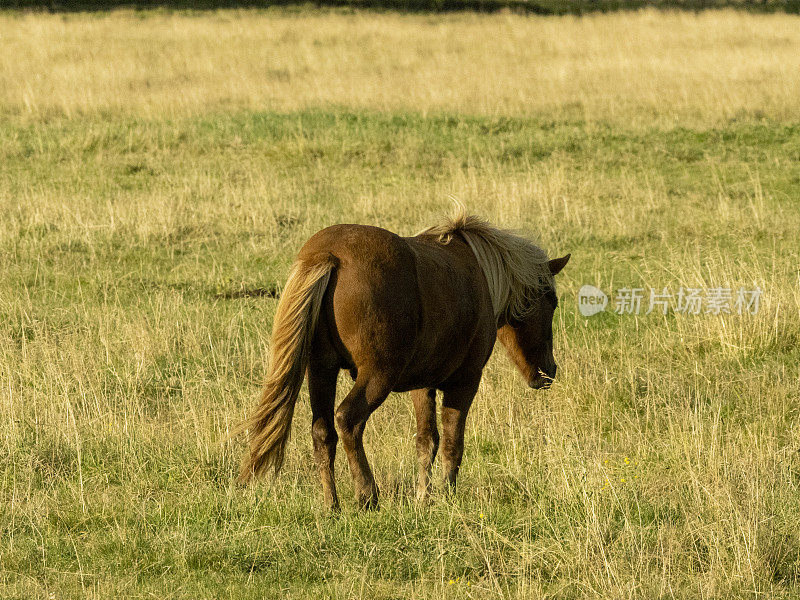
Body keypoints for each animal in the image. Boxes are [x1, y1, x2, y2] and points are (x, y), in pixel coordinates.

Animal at [238, 209, 568, 508]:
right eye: (551, 300)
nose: (548, 371)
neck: (480, 273)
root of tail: (329, 255)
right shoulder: (465, 381)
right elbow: (452, 442)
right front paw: (447, 495)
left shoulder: (422, 385)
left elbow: (426, 441)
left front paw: (424, 497)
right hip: (377, 375)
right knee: (348, 420)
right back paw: (367, 495)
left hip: (321, 371)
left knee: (323, 432)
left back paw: (332, 505)